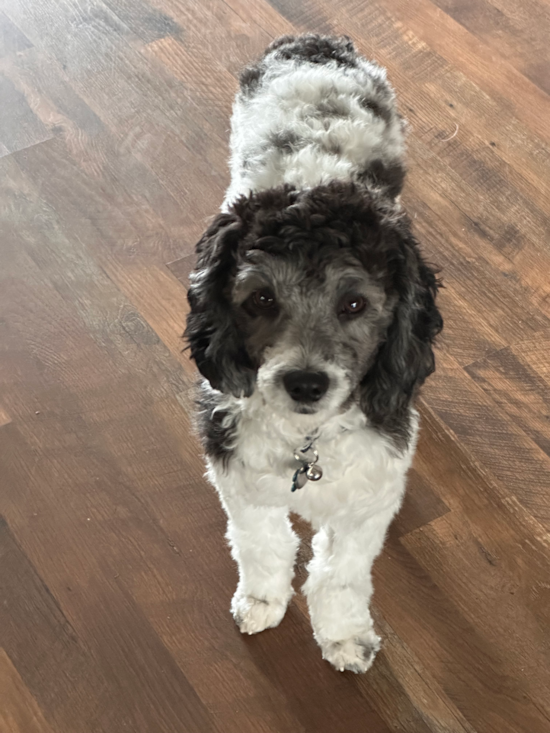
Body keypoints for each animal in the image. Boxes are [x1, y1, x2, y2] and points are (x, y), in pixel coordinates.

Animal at [185, 35, 444, 676]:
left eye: (354, 303)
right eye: (259, 299)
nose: (305, 383)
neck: (308, 442)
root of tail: (313, 44)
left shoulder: (368, 500)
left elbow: (341, 576)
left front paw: (344, 635)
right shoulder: (241, 479)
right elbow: (264, 546)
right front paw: (261, 600)